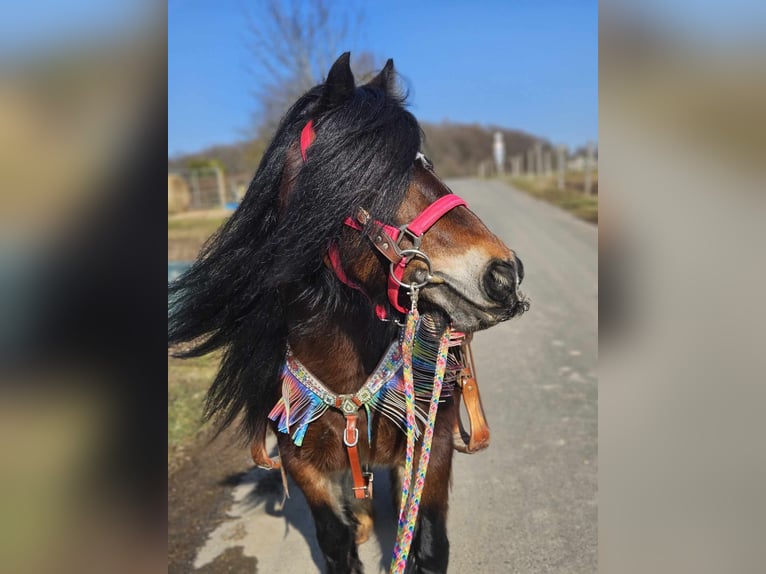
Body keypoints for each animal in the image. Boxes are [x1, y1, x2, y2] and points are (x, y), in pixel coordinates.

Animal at [168, 51, 528, 572]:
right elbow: (334, 540)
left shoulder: (433, 446)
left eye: (426, 164)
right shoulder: (303, 466)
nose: (503, 274)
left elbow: (426, 540)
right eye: (372, 176)